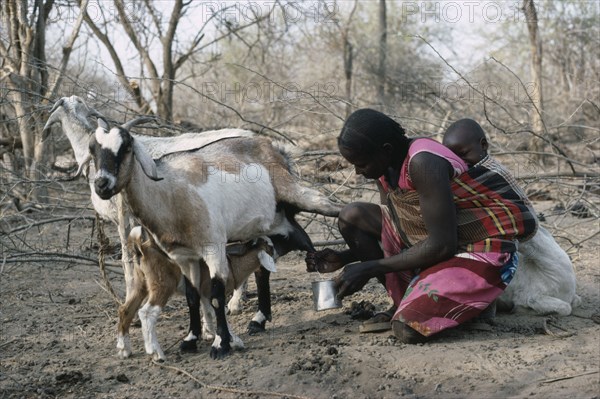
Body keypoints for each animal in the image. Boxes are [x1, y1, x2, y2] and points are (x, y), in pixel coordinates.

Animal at [85, 116, 342, 360]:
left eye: (126, 146)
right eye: (92, 149)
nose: (102, 184)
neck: (170, 192)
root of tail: (274, 148)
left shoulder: (213, 248)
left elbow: (217, 296)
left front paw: (220, 344)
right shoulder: (184, 257)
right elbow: (192, 296)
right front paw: (190, 339)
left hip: (298, 195)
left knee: (333, 212)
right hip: (274, 221)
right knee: (274, 260)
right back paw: (259, 320)